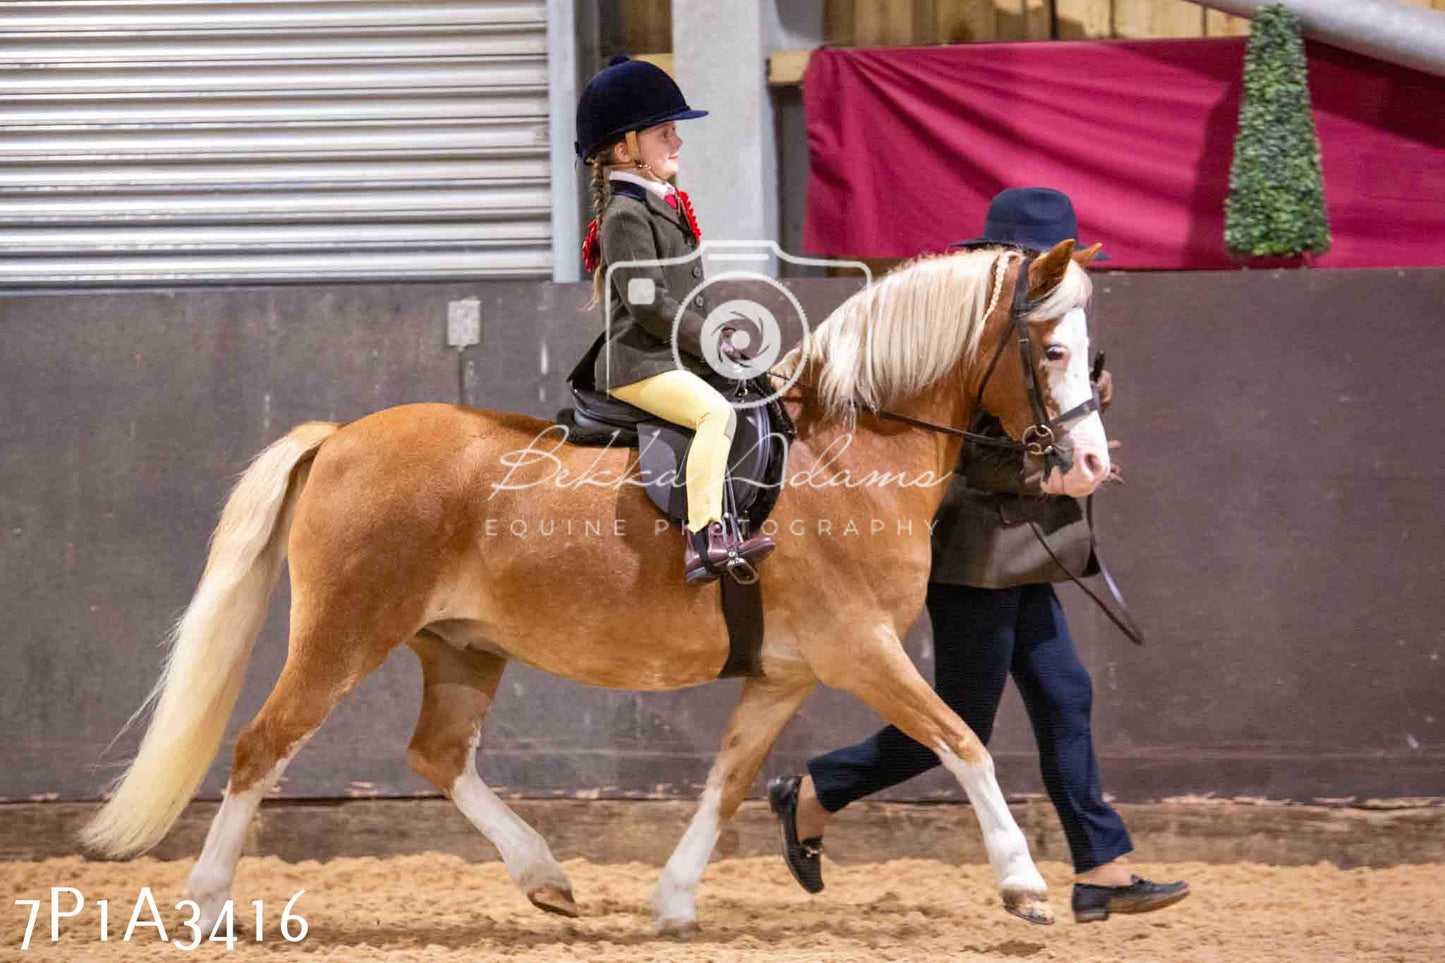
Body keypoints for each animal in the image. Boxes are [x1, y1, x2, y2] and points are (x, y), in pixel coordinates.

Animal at [84, 238, 1109, 931]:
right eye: (1052, 350)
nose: (1092, 463)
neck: (849, 452)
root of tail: (338, 438)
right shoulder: (858, 648)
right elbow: (962, 741)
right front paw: (1022, 884)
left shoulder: (785, 672)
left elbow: (728, 781)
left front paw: (672, 899)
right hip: (345, 635)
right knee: (264, 746)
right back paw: (208, 903)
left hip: (459, 648)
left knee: (438, 754)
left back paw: (544, 874)